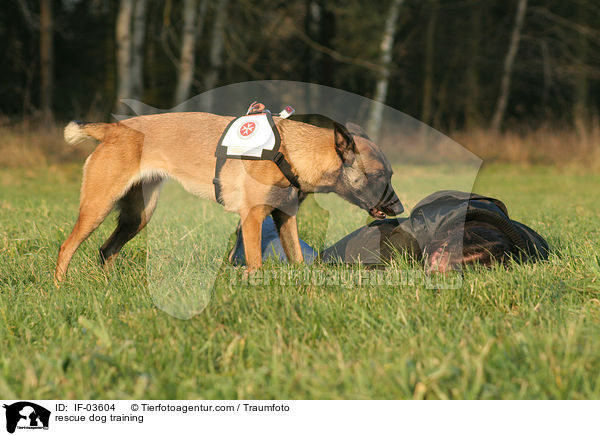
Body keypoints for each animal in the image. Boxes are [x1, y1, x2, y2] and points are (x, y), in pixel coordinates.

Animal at [55, 112, 404, 282]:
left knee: (106, 250)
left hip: (138, 216)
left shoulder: (285, 218)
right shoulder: (252, 218)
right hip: (98, 207)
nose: (399, 207)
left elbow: (298, 261)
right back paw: (60, 288)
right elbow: (256, 265)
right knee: (66, 247)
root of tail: (114, 129)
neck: (291, 152)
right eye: (378, 176)